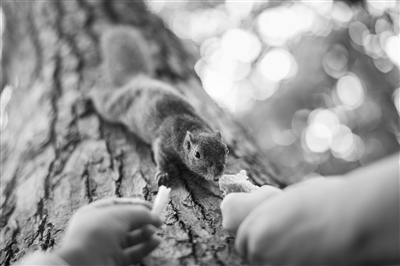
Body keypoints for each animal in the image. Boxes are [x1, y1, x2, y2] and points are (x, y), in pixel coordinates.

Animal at [90, 26, 228, 186]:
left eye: (226, 150)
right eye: (197, 154)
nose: (218, 174)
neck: (192, 125)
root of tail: (138, 80)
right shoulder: (163, 142)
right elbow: (160, 159)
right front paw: (162, 174)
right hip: (115, 105)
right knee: (102, 98)